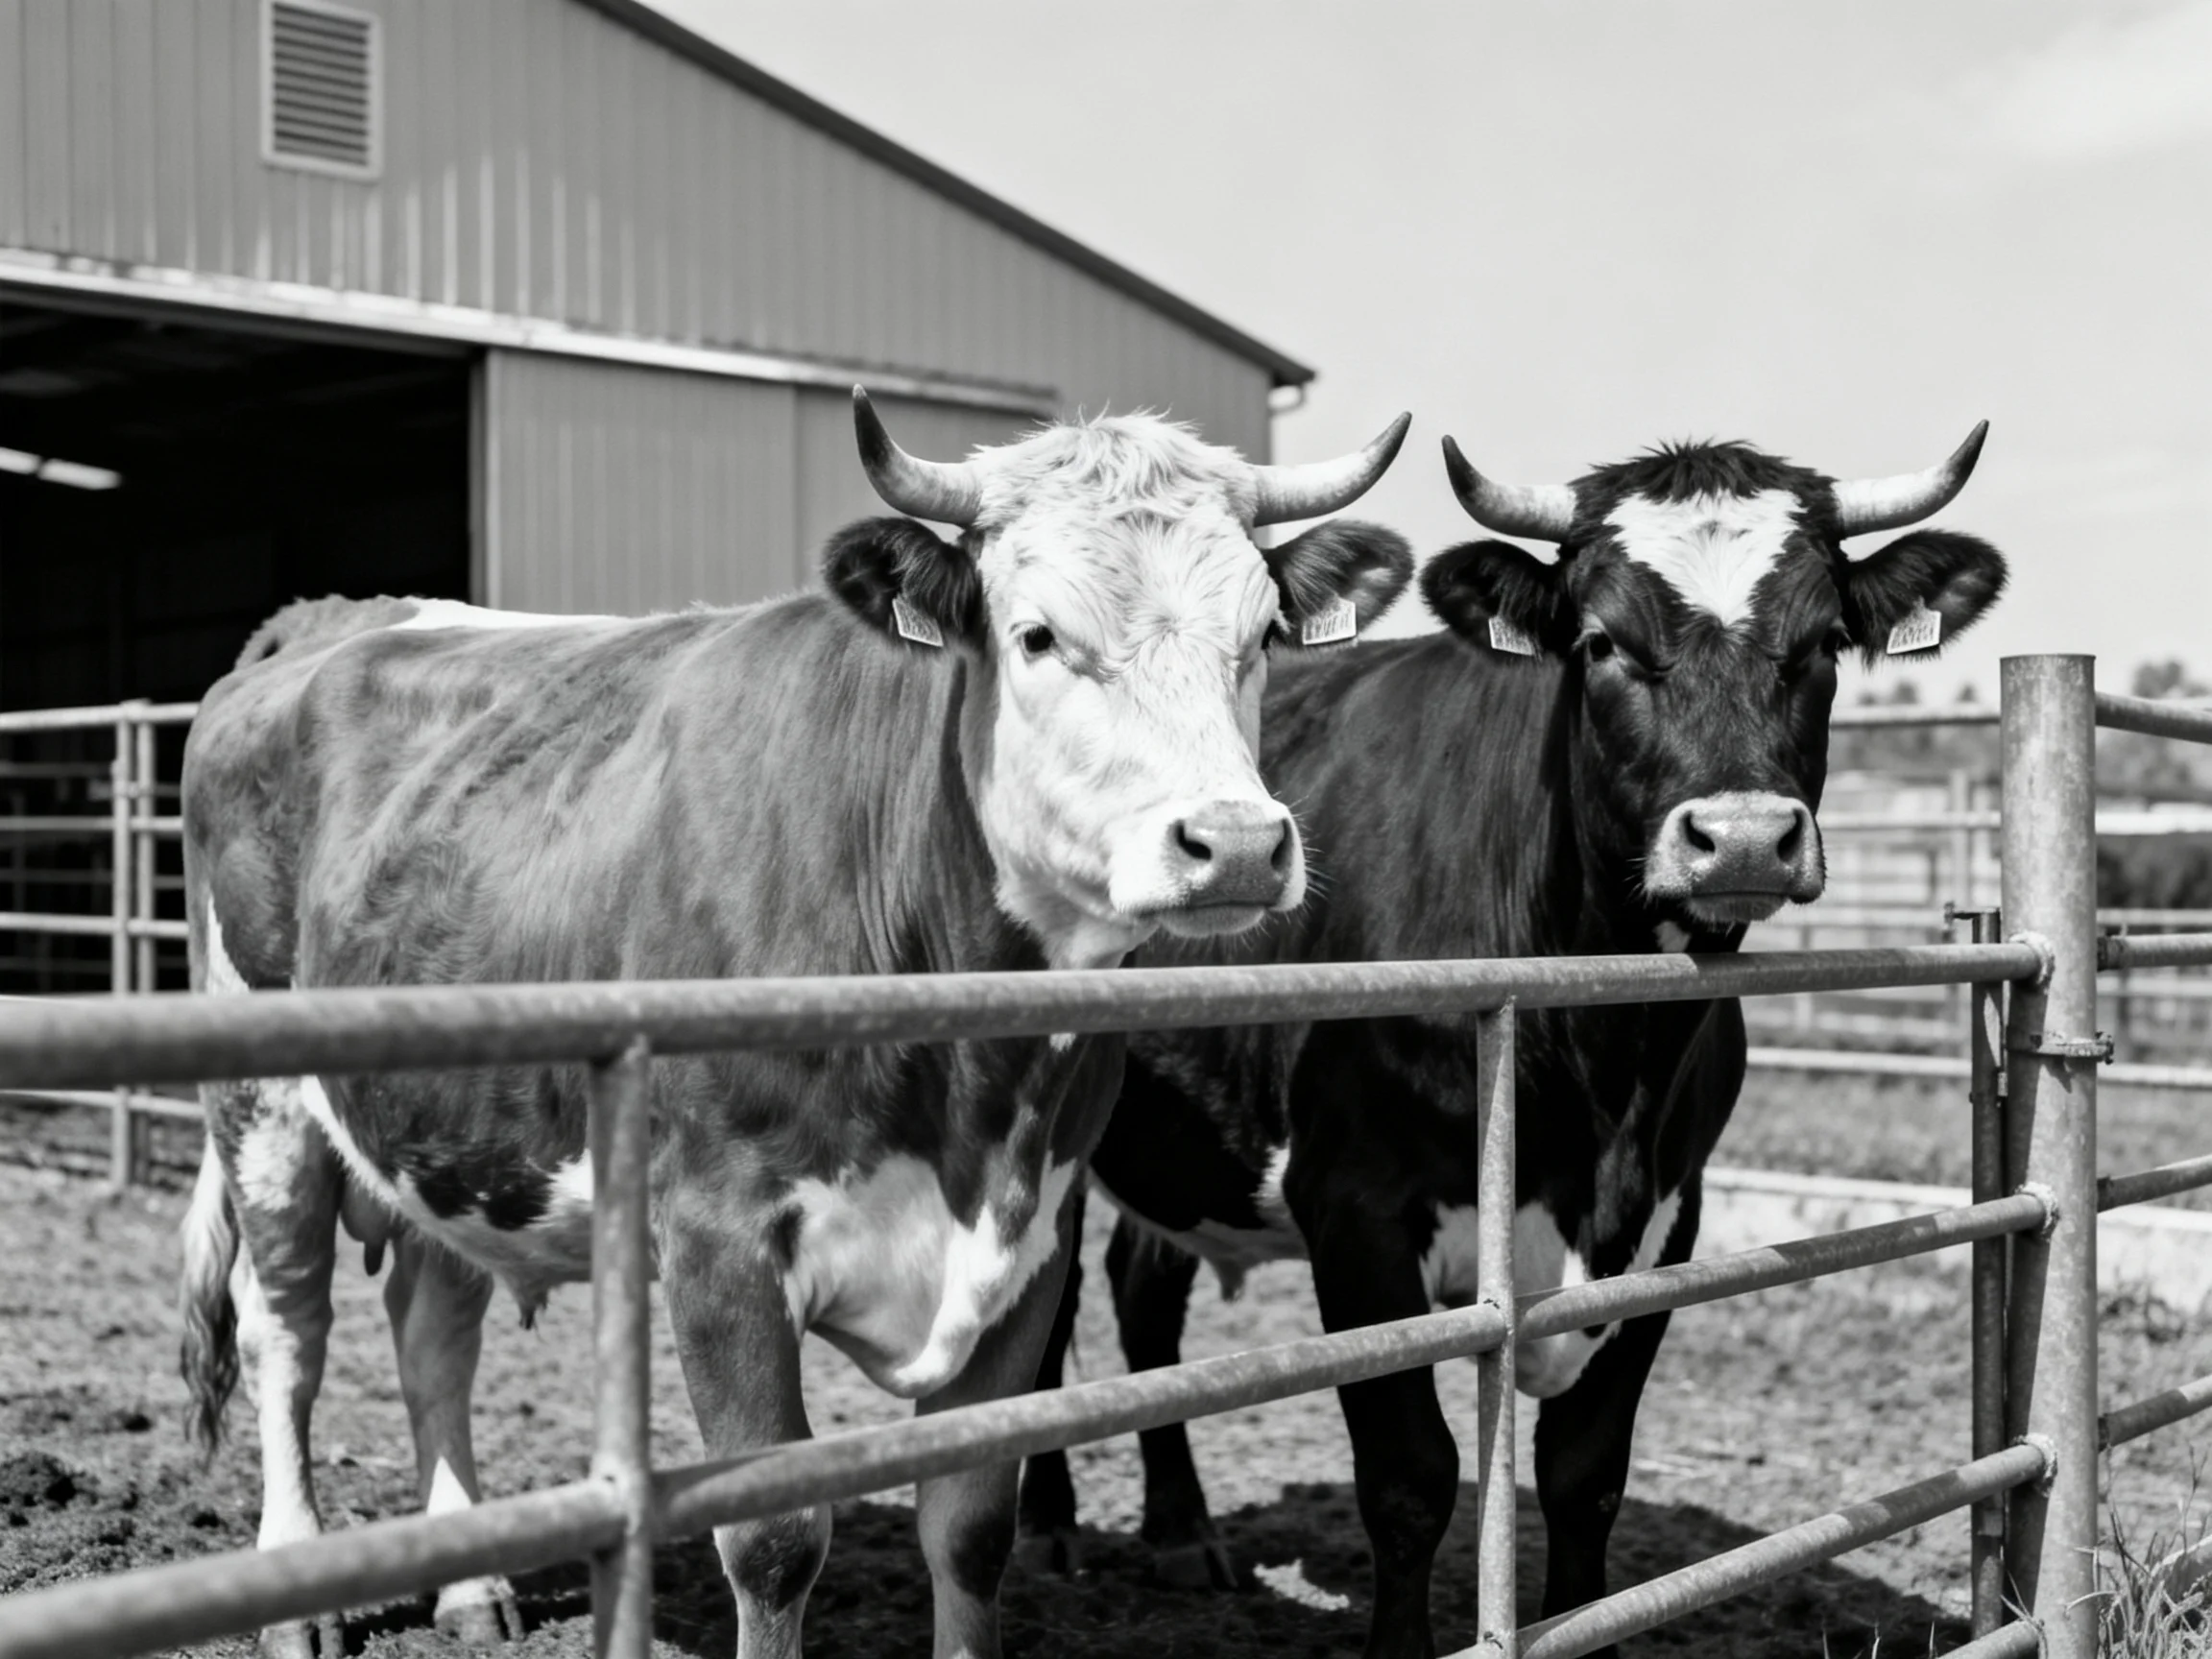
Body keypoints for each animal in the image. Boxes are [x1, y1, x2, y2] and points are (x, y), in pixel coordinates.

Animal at [175, 389, 1415, 1659]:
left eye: (1260, 637)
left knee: (432, 1330)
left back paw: (474, 1589)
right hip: (263, 1108)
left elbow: (972, 1525)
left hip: (453, 1134)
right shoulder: (719, 1239)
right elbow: (773, 1542)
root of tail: (329, 620)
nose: (1239, 842)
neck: (972, 1077)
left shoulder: (1031, 1241)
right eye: (1036, 636)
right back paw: (294, 1597)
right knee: (288, 1337)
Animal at [1016, 426, 2008, 1658]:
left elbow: (1585, 1473)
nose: (1741, 838)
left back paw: (1182, 1533)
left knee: (1139, 1290)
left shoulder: (1668, 1219)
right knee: (1048, 1309)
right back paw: (1049, 1526)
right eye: (1601, 642)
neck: (1606, 1053)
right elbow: (1409, 1478)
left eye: (1824, 641)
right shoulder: (1357, 1211)